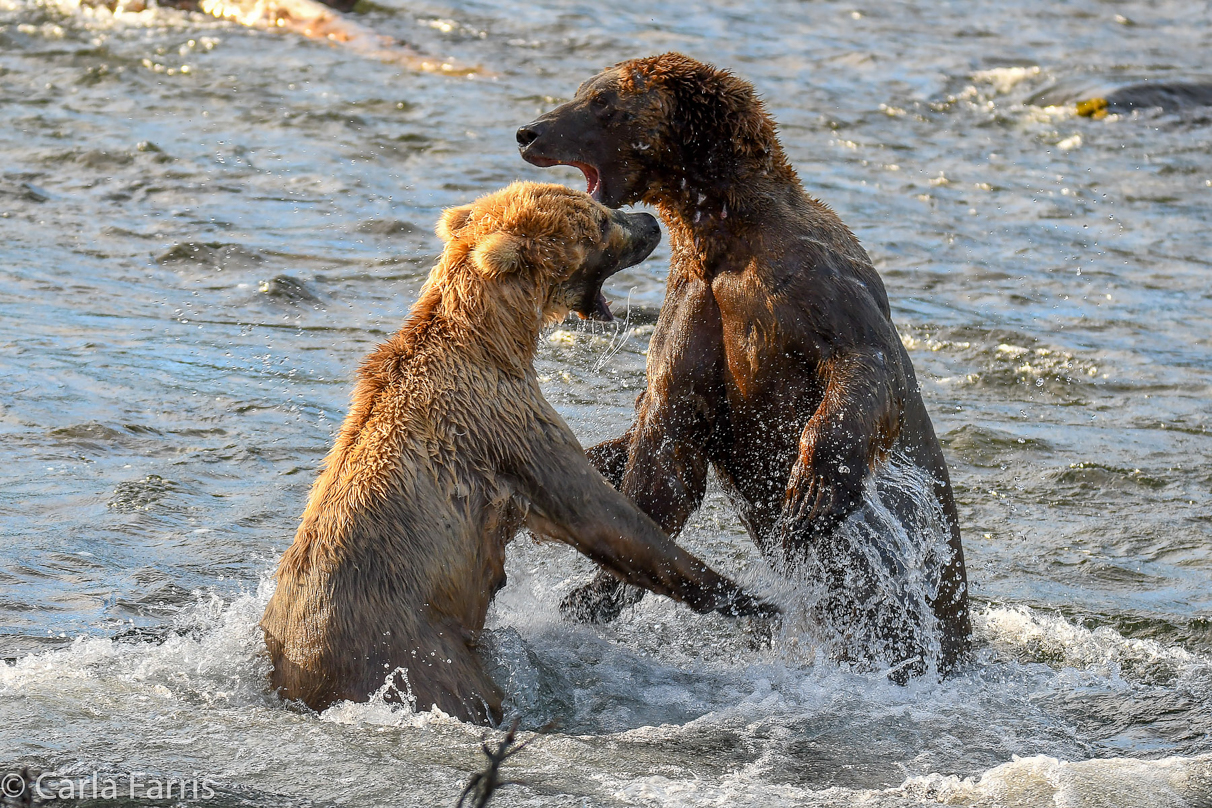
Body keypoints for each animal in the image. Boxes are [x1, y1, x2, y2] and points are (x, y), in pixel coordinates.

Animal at [258, 182, 775, 726]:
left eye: (599, 207)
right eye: (599, 221)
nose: (650, 224)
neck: (498, 339)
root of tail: (299, 680)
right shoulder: (504, 422)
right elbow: (599, 514)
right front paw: (752, 602)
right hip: (411, 651)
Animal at [516, 47, 969, 673]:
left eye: (602, 100)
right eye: (583, 89)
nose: (529, 131)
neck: (722, 236)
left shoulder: (811, 286)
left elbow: (866, 365)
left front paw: (811, 488)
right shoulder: (694, 315)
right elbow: (664, 452)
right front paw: (594, 585)